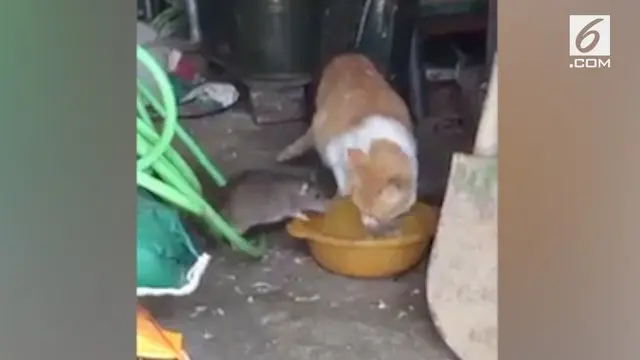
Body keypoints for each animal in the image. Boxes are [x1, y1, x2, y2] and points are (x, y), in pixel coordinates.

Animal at [276, 53, 420, 231]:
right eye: (360, 208)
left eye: (374, 214)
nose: (366, 223)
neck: (380, 141)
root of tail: (348, 54)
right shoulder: (334, 152)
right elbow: (343, 185)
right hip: (319, 118)